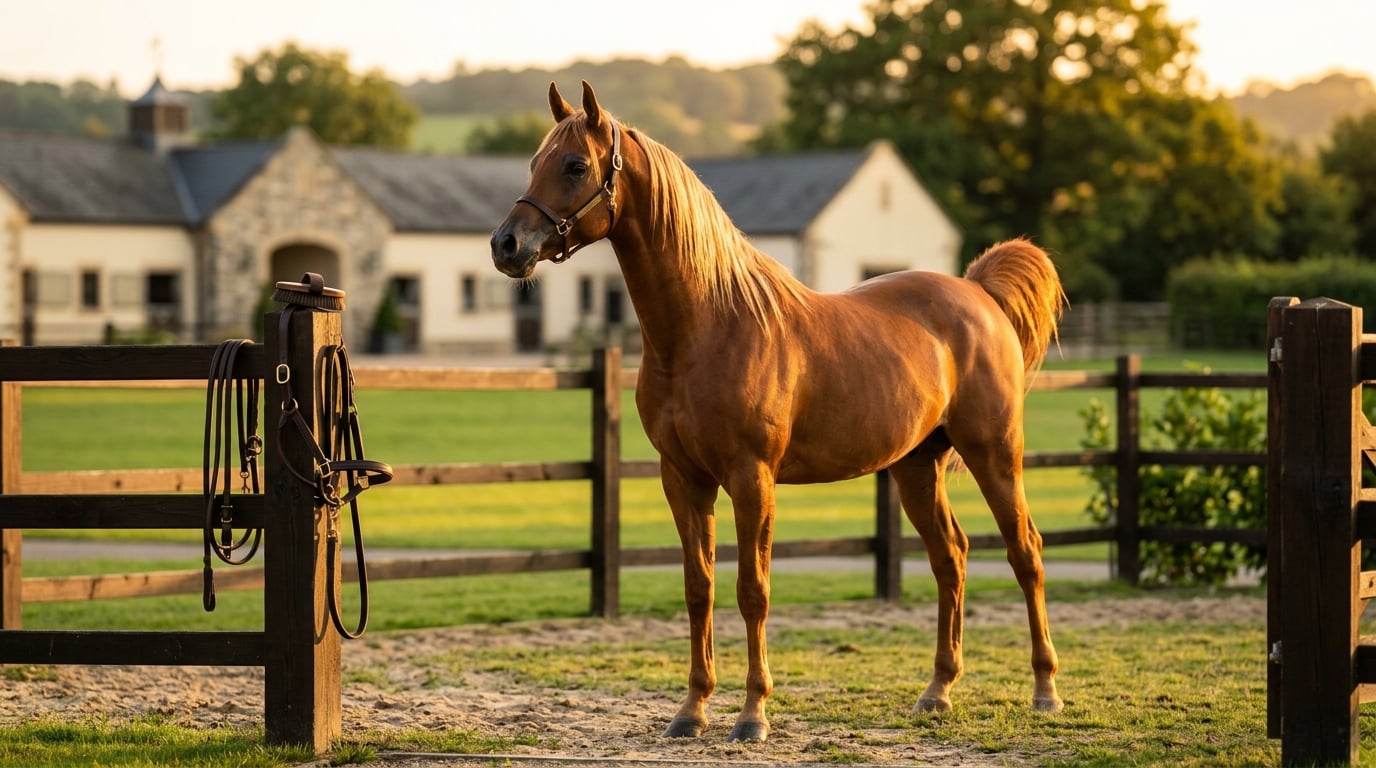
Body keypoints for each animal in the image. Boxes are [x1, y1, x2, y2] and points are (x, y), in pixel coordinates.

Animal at [490, 80, 1067, 743]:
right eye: (534, 162)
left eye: (575, 165)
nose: (506, 245)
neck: (706, 326)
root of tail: (976, 291)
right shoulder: (682, 479)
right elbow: (699, 587)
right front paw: (692, 711)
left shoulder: (752, 478)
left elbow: (753, 591)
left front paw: (752, 715)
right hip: (916, 467)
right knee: (952, 557)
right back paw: (938, 692)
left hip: (995, 456)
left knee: (1026, 552)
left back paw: (1045, 690)